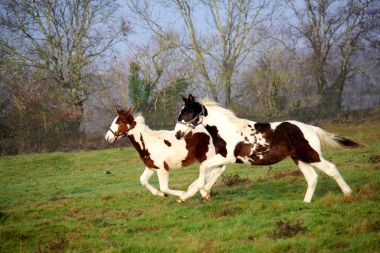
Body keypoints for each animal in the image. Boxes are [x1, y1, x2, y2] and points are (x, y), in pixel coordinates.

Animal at [174, 94, 364, 203]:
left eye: (188, 113)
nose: (177, 134)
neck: (226, 129)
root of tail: (311, 128)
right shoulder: (223, 159)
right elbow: (208, 172)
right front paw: (188, 195)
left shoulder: (226, 157)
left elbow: (204, 169)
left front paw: (204, 193)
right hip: (299, 159)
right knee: (312, 178)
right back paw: (305, 203)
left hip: (311, 155)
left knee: (331, 168)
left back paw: (348, 193)